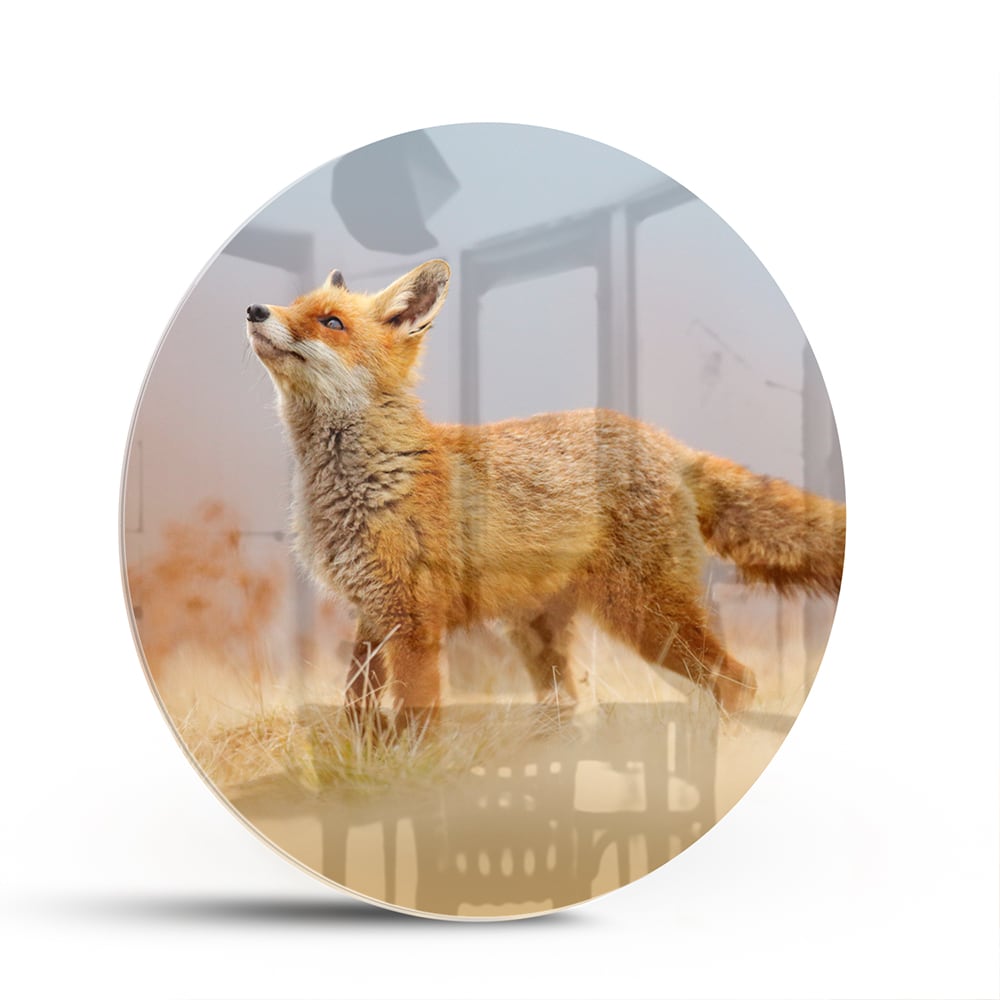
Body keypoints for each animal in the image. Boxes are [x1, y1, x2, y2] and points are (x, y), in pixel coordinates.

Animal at [246, 259, 845, 726]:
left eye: (331, 322)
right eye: (295, 305)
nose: (255, 309)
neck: (367, 478)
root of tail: (663, 440)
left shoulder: (413, 618)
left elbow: (417, 715)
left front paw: (412, 777)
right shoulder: (371, 613)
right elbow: (356, 706)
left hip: (648, 618)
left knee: (738, 681)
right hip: (537, 631)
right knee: (573, 707)